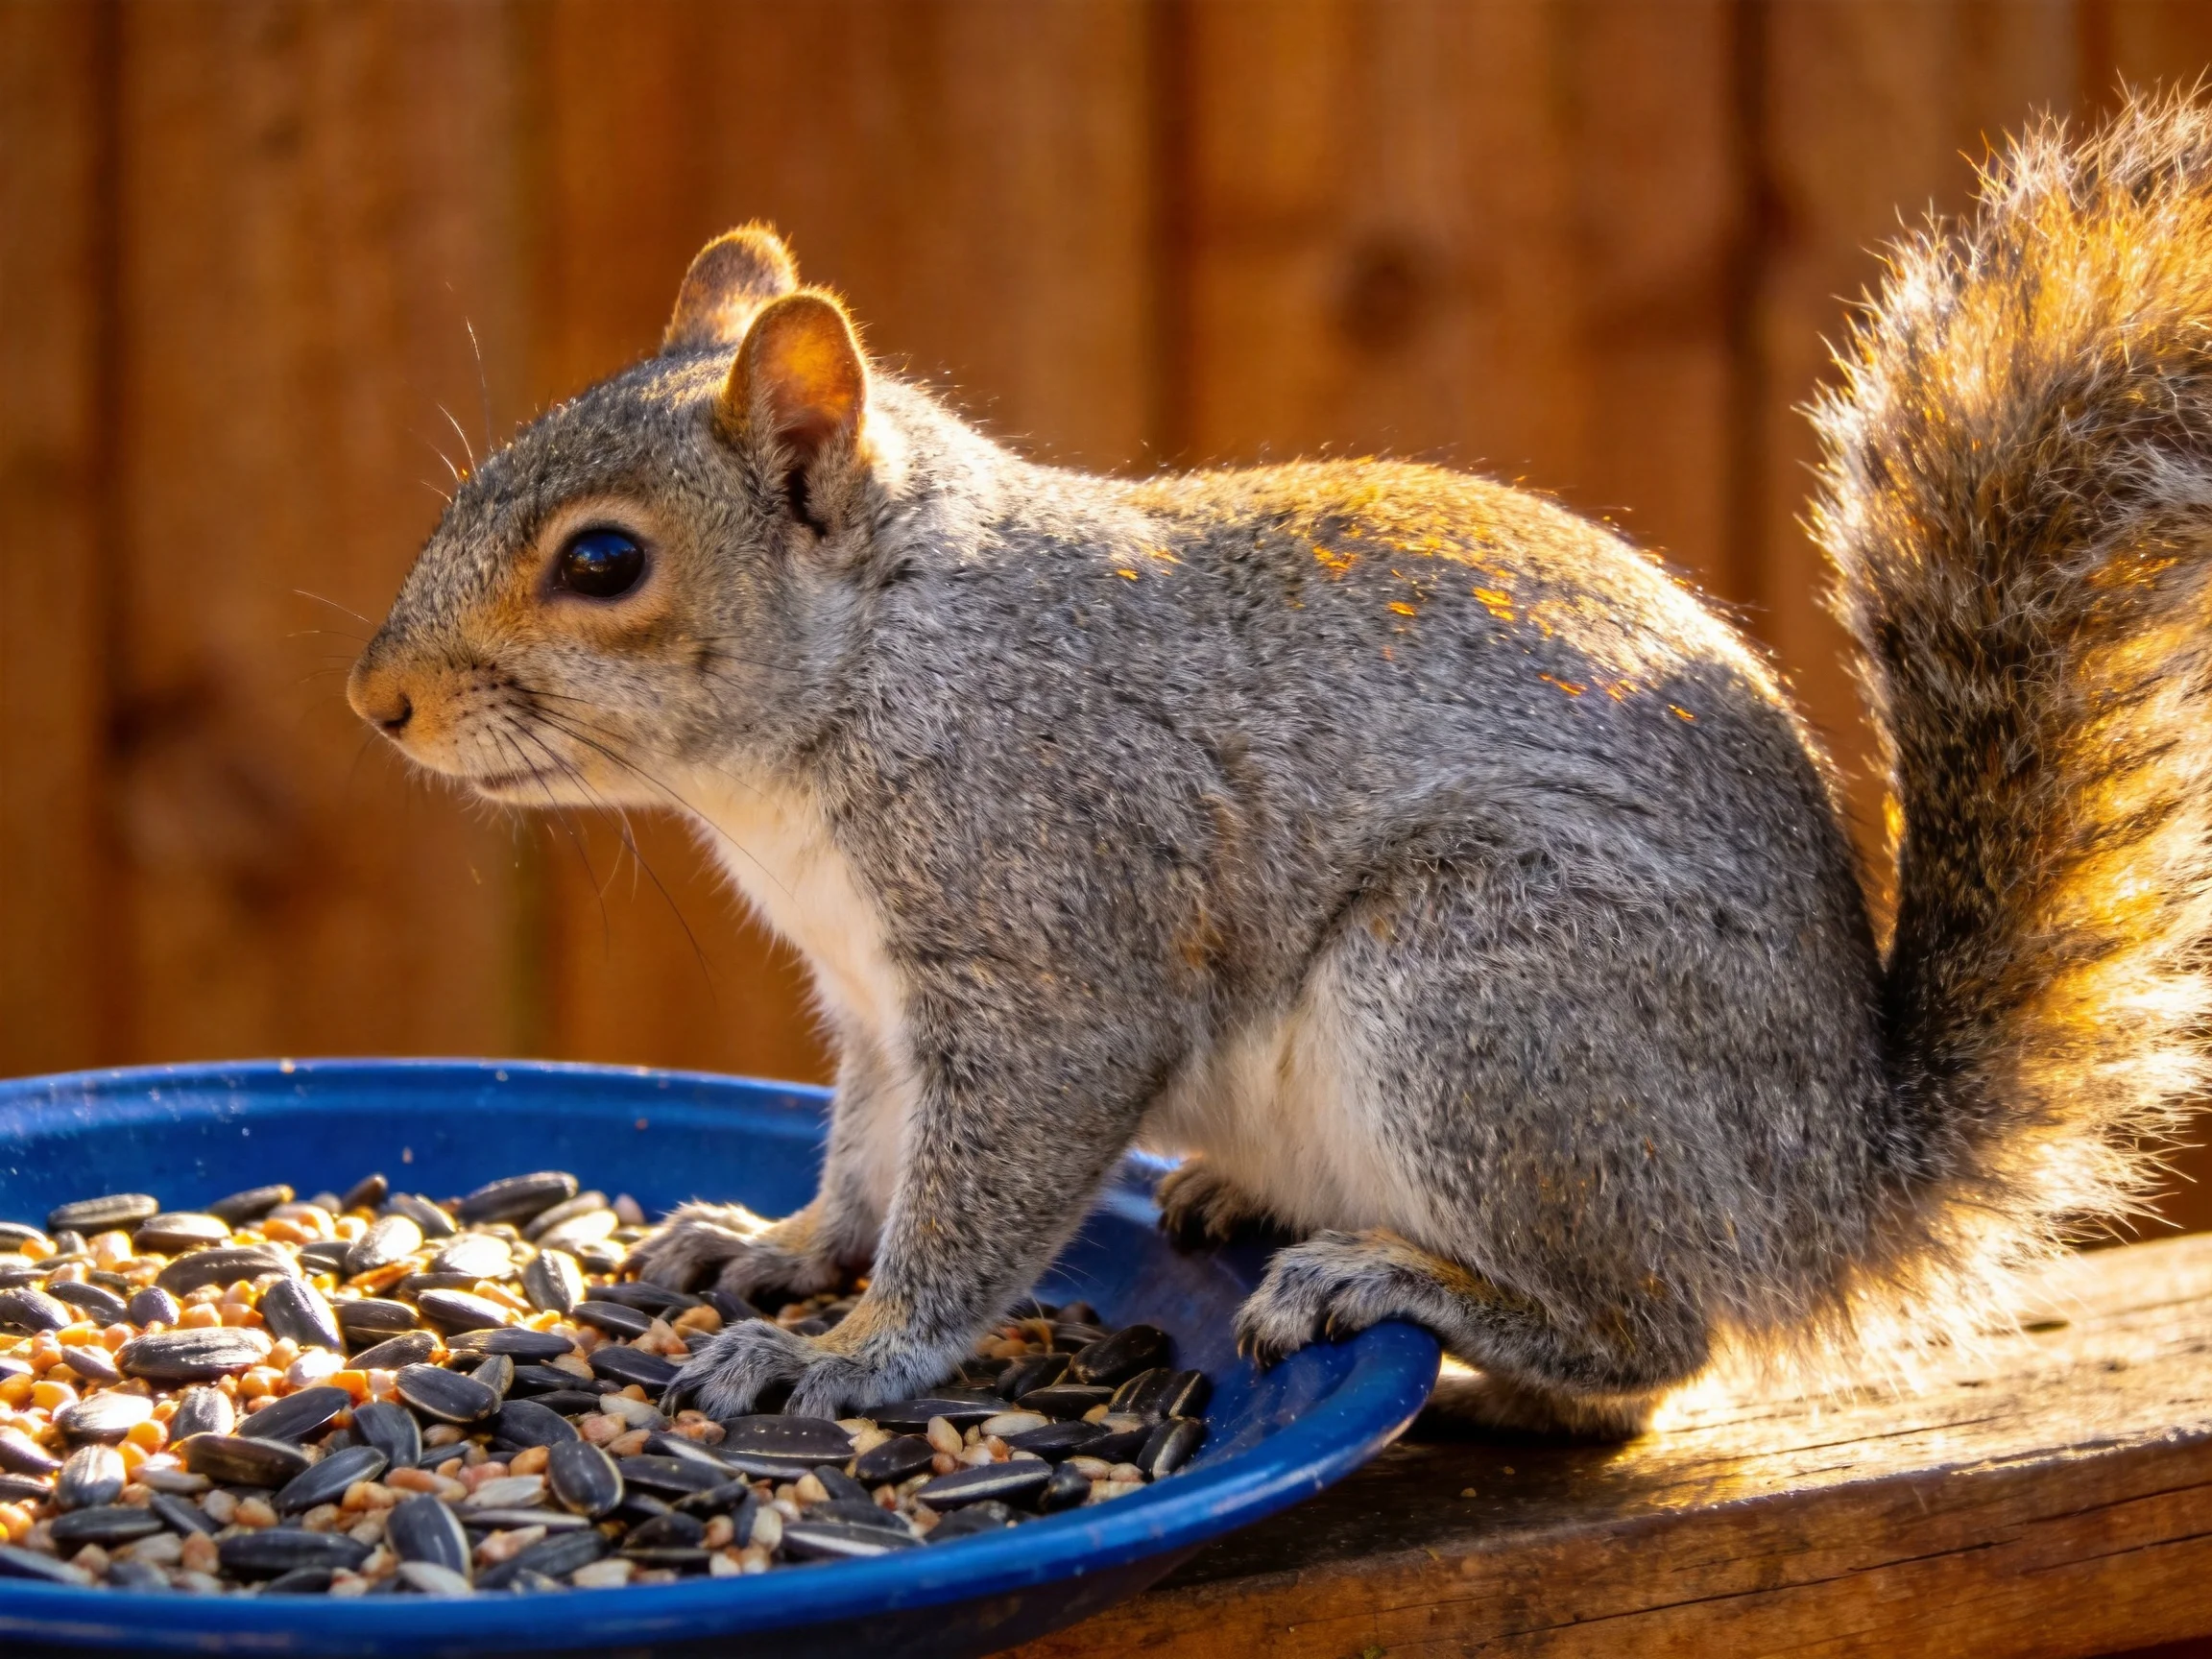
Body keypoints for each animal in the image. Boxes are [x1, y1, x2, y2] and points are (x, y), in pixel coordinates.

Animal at [350, 94, 2212, 1436]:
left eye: (604, 563)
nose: (378, 701)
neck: (876, 672)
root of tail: (1832, 1186)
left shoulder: (1057, 931)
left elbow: (977, 1189)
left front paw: (856, 1355)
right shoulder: (876, 1005)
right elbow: (872, 1154)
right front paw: (779, 1252)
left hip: (1485, 994)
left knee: (1649, 1339)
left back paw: (1395, 1286)